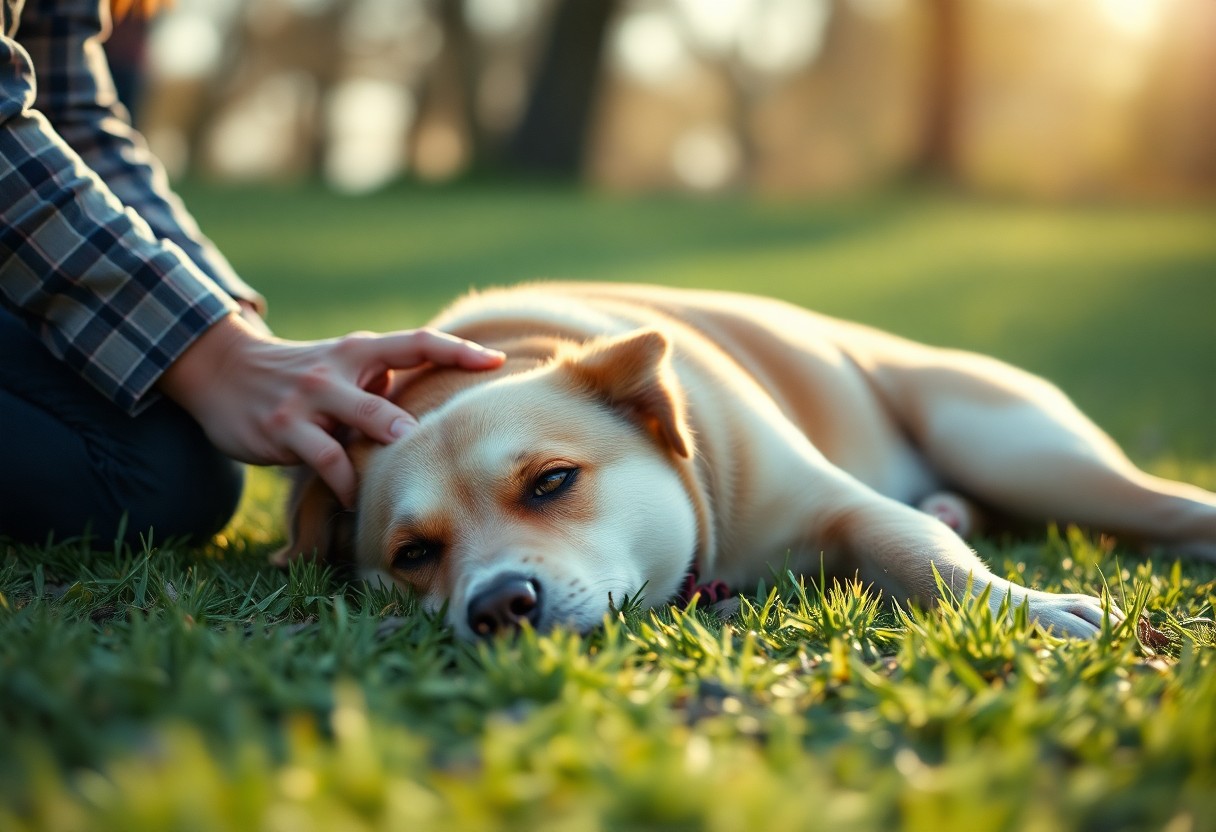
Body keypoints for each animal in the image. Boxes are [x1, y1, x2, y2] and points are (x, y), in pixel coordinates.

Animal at [276, 282, 1216, 642]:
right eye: (412, 555)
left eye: (552, 481)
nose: (500, 605)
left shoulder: (846, 505)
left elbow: (922, 557)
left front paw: (1034, 608)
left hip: (1020, 449)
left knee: (1164, 506)